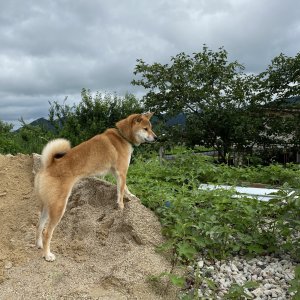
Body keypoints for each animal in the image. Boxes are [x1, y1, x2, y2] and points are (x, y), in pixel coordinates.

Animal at [34, 112, 157, 260]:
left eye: (151, 128)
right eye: (145, 129)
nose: (156, 137)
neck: (122, 136)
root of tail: (48, 166)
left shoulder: (117, 173)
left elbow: (124, 188)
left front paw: (131, 195)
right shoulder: (121, 172)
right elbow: (120, 192)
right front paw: (121, 207)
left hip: (47, 205)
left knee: (39, 225)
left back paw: (39, 245)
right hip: (58, 207)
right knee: (47, 231)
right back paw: (47, 255)